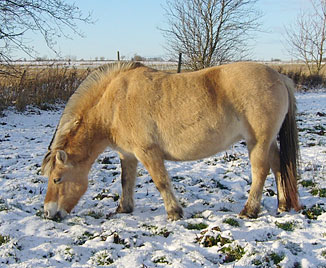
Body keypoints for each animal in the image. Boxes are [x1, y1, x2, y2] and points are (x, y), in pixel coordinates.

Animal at [40, 61, 300, 221]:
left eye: (57, 178)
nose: (49, 213)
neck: (115, 104)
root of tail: (279, 77)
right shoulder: (128, 155)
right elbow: (126, 181)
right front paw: (124, 208)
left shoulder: (148, 152)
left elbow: (161, 182)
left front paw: (174, 212)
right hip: (268, 142)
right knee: (278, 166)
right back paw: (283, 205)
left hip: (258, 142)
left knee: (261, 172)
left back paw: (249, 210)